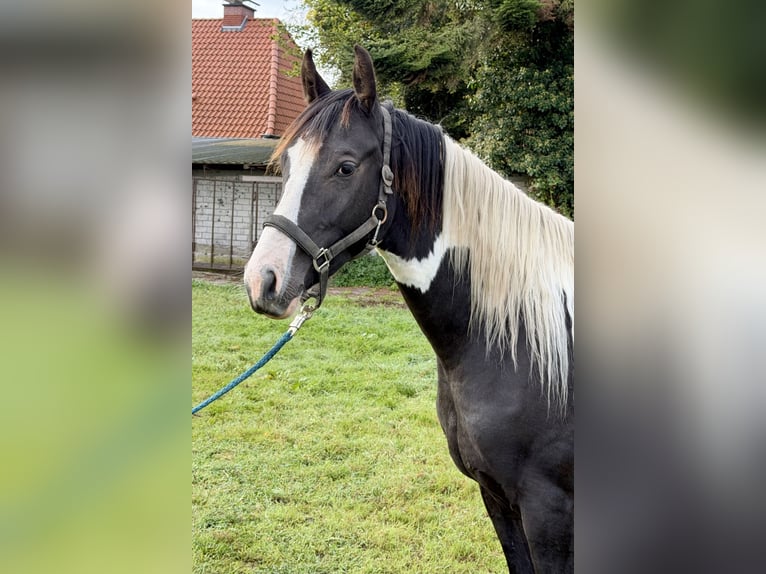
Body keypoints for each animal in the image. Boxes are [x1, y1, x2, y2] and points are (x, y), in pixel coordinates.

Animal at [244, 45, 573, 573]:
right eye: (288, 163)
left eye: (345, 167)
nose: (264, 280)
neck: (520, 341)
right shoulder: (497, 498)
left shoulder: (550, 512)